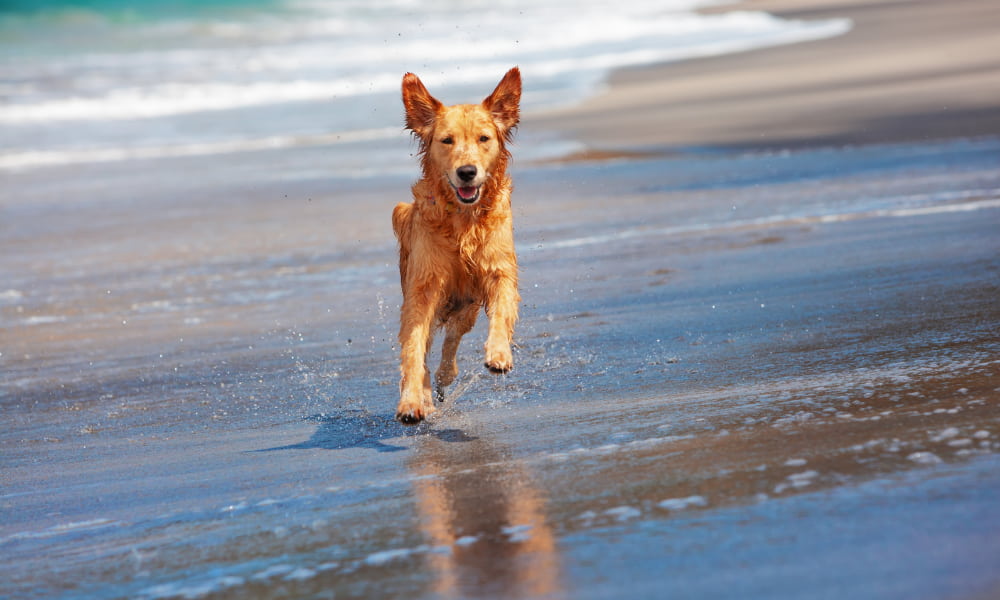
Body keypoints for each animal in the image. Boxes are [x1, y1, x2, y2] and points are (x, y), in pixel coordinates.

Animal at [390, 67, 520, 422]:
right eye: (446, 140)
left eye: (483, 139)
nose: (467, 172)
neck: (462, 220)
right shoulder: (423, 288)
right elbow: (413, 348)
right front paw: (411, 401)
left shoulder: (498, 271)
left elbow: (502, 310)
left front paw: (498, 354)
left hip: (467, 308)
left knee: (451, 343)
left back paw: (446, 376)